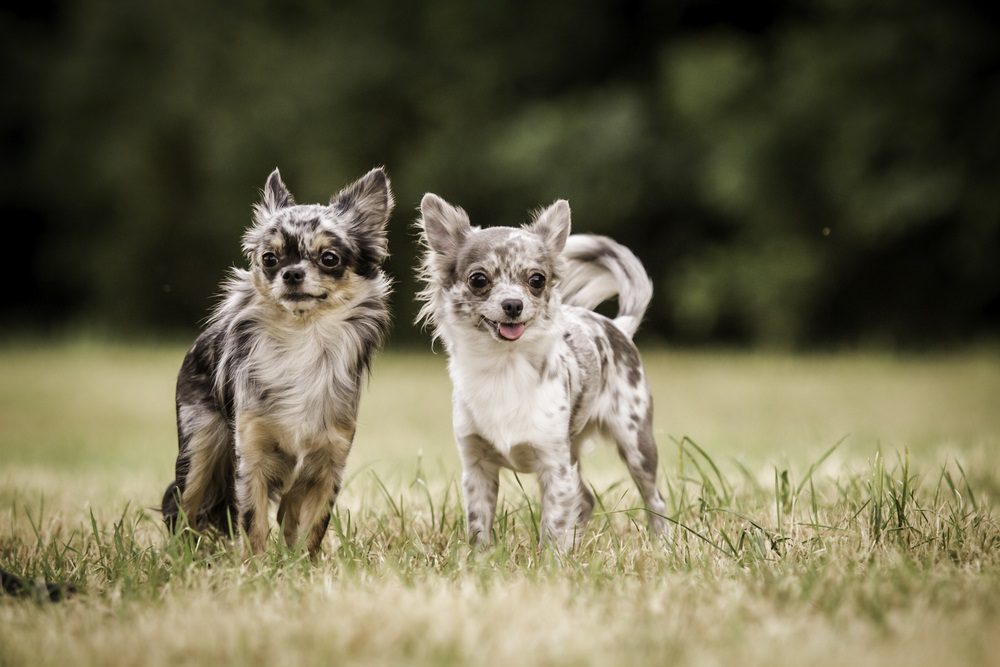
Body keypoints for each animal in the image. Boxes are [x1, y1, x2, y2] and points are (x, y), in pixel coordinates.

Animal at [162, 168, 392, 560]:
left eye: (329, 258)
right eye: (270, 259)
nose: (292, 273)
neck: (303, 339)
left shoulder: (327, 464)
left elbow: (313, 529)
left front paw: (306, 566)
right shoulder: (251, 457)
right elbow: (253, 522)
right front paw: (255, 567)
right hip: (199, 450)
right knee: (184, 508)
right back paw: (179, 559)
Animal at [418, 193, 668, 548]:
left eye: (537, 280)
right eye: (478, 280)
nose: (513, 304)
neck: (504, 367)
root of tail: (618, 326)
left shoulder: (555, 466)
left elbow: (553, 525)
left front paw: (551, 557)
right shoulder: (477, 467)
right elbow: (479, 524)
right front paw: (480, 557)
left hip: (635, 443)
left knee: (654, 499)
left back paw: (662, 543)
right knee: (586, 498)